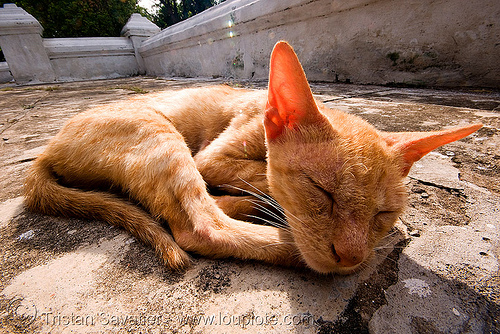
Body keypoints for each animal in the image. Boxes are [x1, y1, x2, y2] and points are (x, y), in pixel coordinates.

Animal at [23, 41, 480, 274]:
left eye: (381, 213)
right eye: (322, 192)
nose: (351, 257)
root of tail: (45, 151)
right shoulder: (211, 158)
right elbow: (262, 176)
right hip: (157, 132)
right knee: (197, 226)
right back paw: (283, 239)